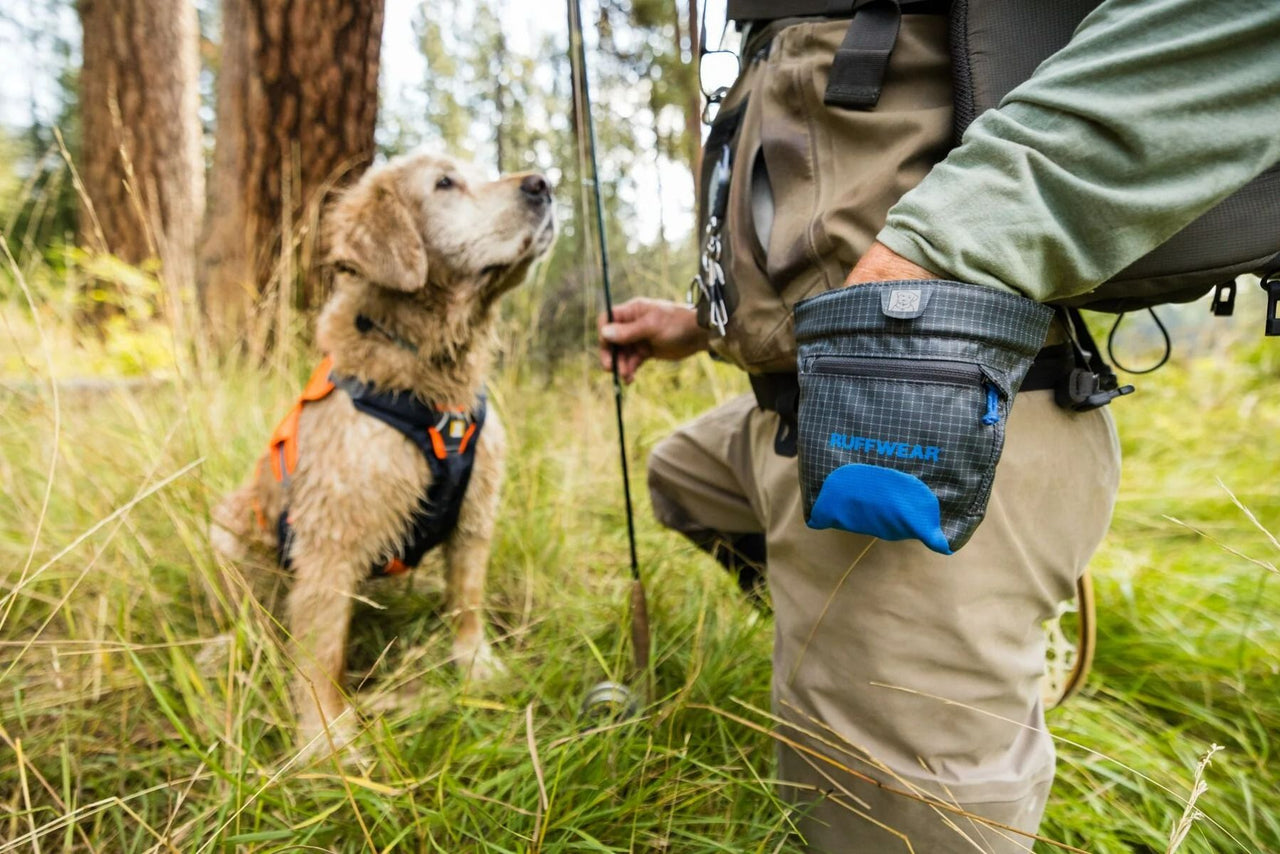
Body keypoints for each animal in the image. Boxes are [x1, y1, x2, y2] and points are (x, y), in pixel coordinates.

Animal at [207, 150, 552, 752]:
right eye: (444, 183)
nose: (544, 184)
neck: (431, 389)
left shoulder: (475, 516)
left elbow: (467, 602)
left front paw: (477, 667)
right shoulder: (330, 539)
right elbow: (321, 656)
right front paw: (326, 740)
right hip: (225, 533)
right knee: (249, 619)